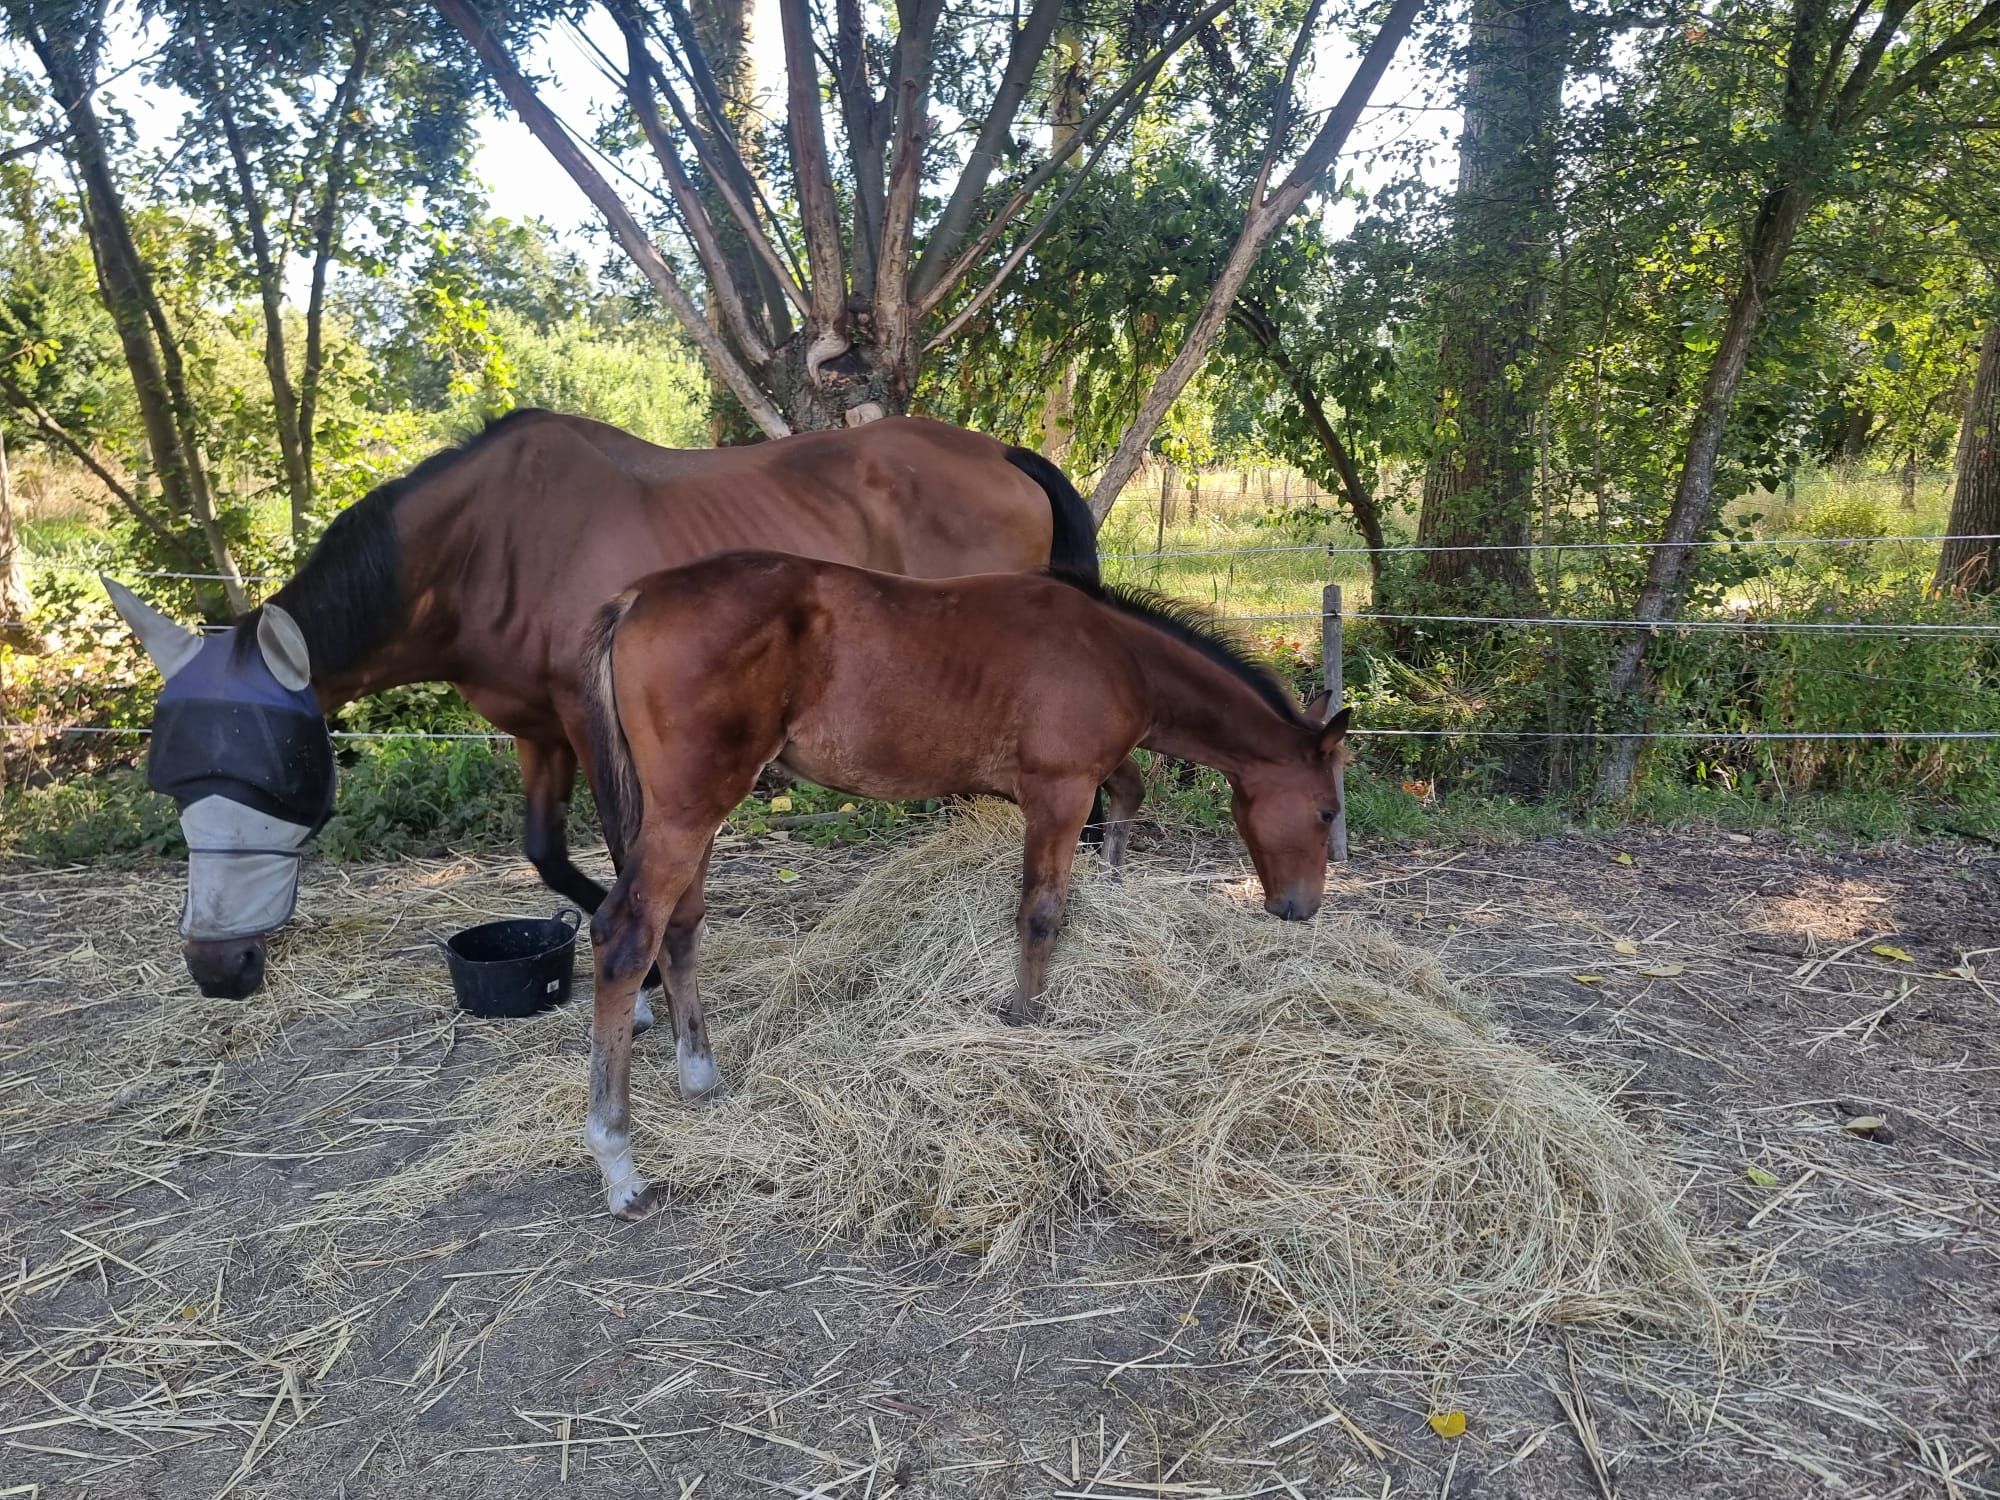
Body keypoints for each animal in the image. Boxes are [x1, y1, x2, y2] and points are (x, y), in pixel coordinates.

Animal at [103, 409, 1145, 1008]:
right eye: (171, 782)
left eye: (278, 776)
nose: (219, 969)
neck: (489, 544)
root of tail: (1003, 453)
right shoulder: (538, 728)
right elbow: (547, 851)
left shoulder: (596, 726)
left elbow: (619, 848)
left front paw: (642, 991)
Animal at [579, 550, 1351, 1219]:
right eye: (1326, 809)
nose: (1300, 907)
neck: (1115, 653)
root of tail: (636, 598)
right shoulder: (1060, 793)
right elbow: (1041, 909)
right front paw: (1023, 1015)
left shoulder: (1083, 781)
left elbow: (1124, 800)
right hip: (691, 807)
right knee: (626, 936)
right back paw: (618, 1162)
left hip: (697, 811)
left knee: (680, 925)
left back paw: (700, 1077)